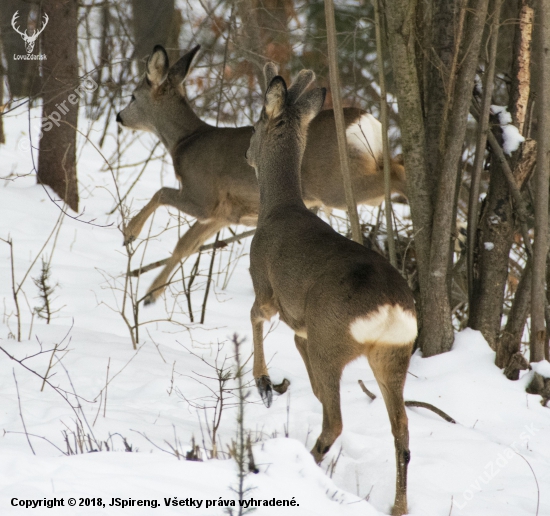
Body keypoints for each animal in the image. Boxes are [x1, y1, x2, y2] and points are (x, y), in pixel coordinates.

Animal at [117, 45, 410, 306]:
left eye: (132, 96)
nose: (119, 117)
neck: (186, 141)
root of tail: (365, 121)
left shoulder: (203, 196)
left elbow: (161, 194)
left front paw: (130, 233)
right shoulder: (223, 214)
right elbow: (185, 245)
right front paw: (151, 295)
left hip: (335, 185)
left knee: (396, 173)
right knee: (396, 164)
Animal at [247, 68, 418, 516]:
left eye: (253, 125)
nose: (246, 154)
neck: (279, 208)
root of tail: (391, 309)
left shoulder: (265, 284)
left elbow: (254, 316)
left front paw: (264, 383)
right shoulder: (302, 326)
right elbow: (303, 362)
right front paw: (279, 384)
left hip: (333, 339)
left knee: (337, 421)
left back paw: (302, 464)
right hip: (392, 354)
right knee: (401, 429)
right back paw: (397, 506)